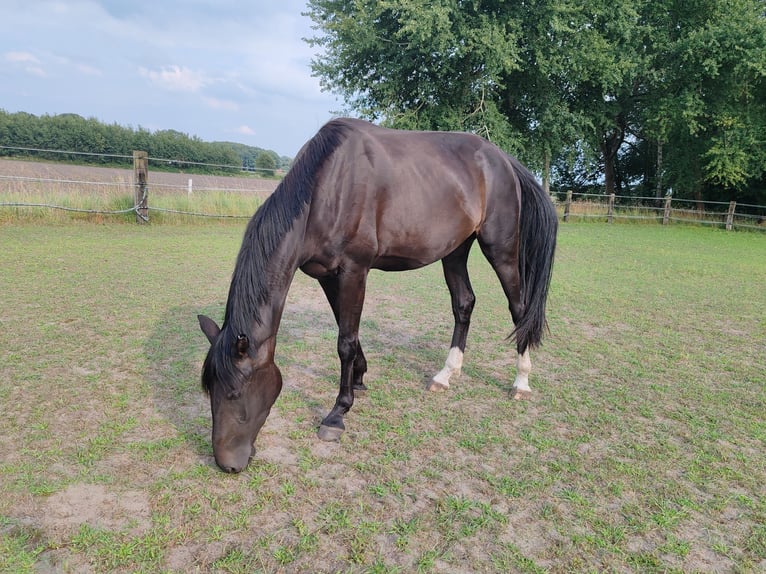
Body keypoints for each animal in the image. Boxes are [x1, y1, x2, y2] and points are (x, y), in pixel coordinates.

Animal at [198, 119, 560, 474]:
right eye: (210, 389)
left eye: (235, 393)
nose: (227, 464)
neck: (326, 188)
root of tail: (504, 160)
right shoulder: (327, 275)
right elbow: (346, 330)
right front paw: (359, 377)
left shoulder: (354, 270)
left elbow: (345, 341)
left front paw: (337, 414)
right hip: (456, 249)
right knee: (464, 304)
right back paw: (446, 374)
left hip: (501, 250)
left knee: (519, 309)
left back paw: (521, 382)